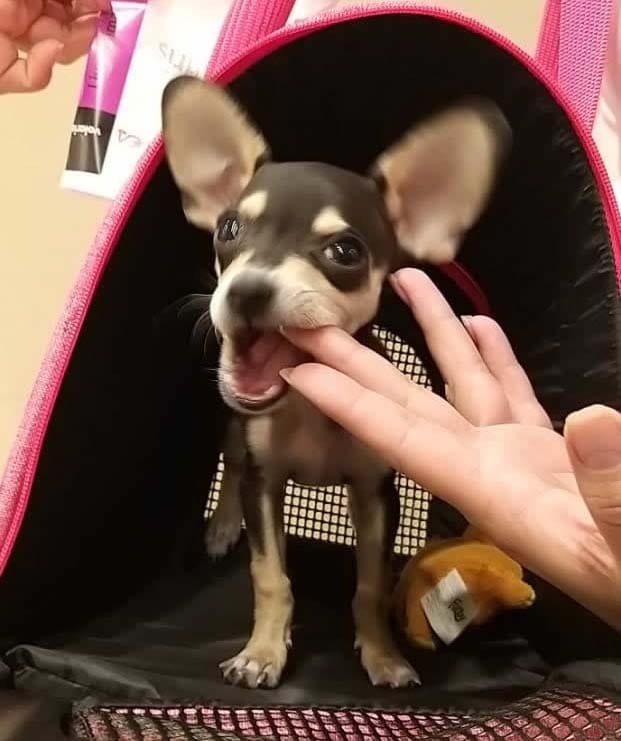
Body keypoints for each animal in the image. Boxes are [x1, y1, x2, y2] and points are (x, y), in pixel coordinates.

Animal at [161, 76, 511, 690]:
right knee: (231, 460)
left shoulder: (374, 493)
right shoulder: (265, 484)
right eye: (230, 229)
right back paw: (223, 523)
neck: (306, 407)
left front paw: (383, 655)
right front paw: (262, 652)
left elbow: (370, 586)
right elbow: (270, 574)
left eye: (344, 252)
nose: (245, 290)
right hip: (236, 427)